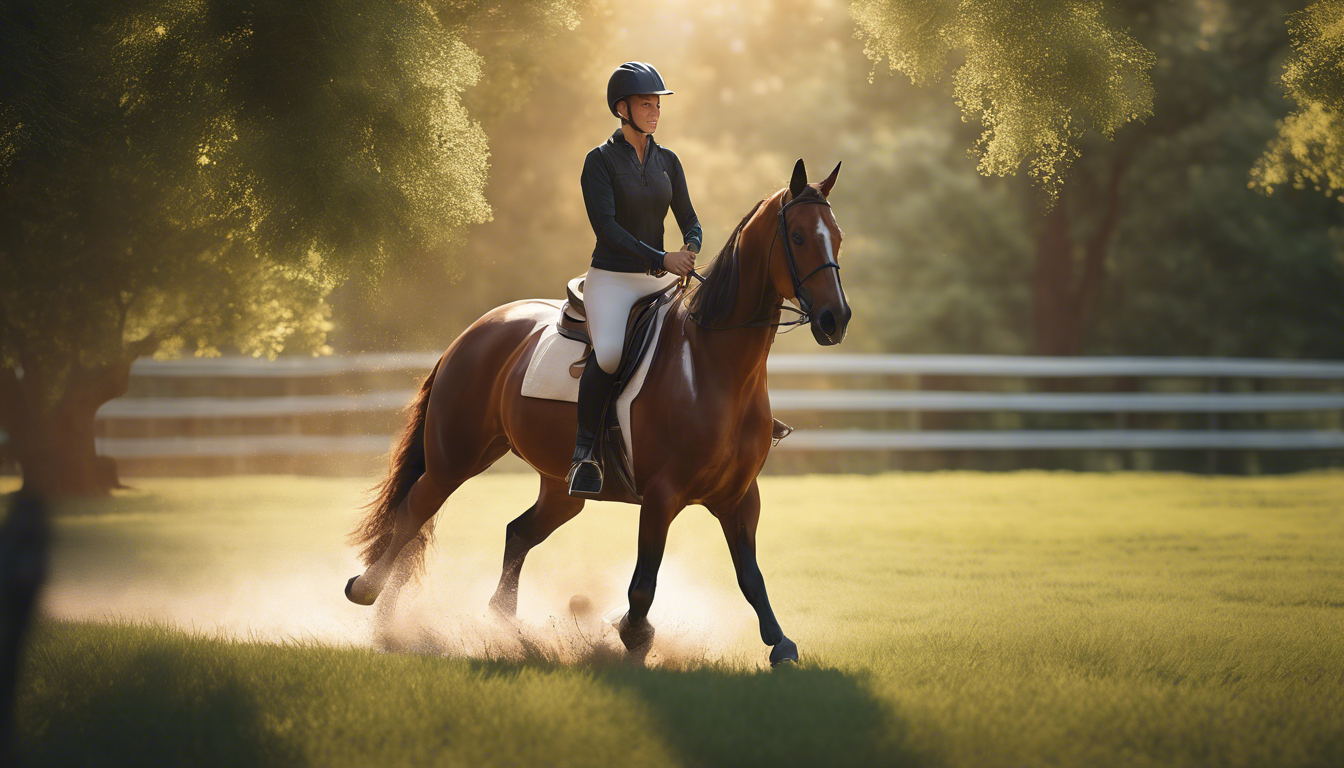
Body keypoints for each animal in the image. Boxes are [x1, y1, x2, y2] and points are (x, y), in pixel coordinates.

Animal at [346, 158, 850, 666]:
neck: (714, 366)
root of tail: (475, 331)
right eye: (799, 237)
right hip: (456, 457)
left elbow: (750, 577)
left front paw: (780, 644)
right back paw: (376, 607)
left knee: (515, 532)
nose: (836, 320)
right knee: (414, 513)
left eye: (838, 236)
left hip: (561, 488)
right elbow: (644, 582)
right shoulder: (662, 495)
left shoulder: (740, 497)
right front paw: (632, 634)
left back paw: (500, 624)